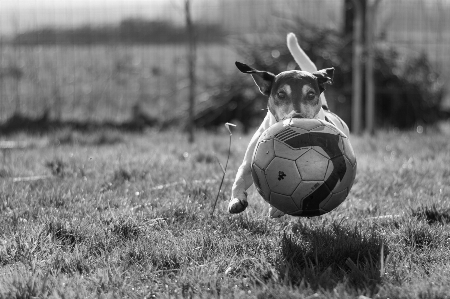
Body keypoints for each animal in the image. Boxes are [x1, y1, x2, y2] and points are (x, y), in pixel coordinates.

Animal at [229, 32, 348, 219]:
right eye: (281, 94)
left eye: (311, 94)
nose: (297, 117)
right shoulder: (250, 163)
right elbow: (240, 177)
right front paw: (236, 201)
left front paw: (276, 208)